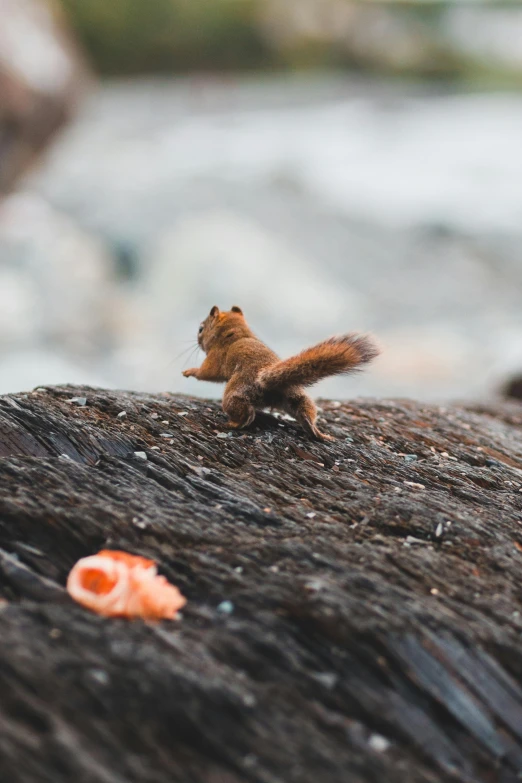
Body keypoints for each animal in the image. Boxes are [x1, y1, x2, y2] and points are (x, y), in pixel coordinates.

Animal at [183, 306, 378, 440]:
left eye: (201, 329)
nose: (197, 340)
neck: (236, 333)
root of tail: (266, 379)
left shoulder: (216, 358)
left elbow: (207, 373)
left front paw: (190, 371)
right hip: (295, 396)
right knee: (305, 411)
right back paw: (319, 434)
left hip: (237, 390)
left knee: (245, 412)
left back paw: (233, 423)